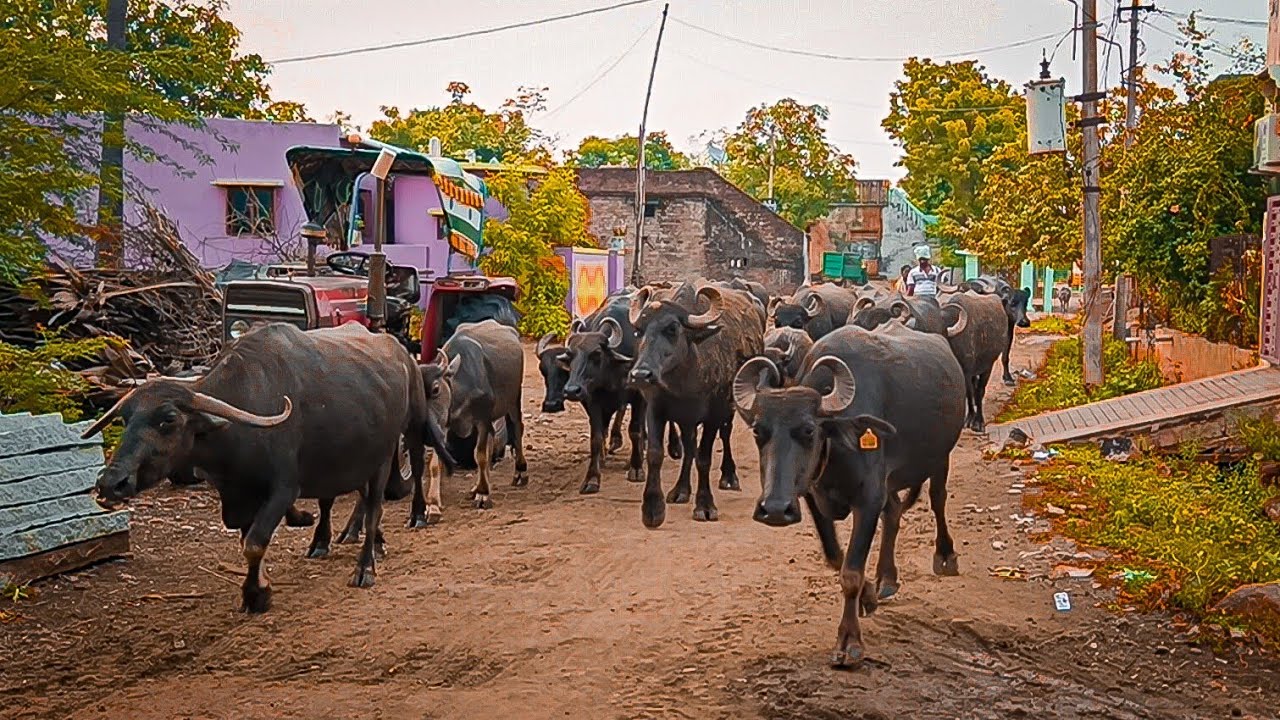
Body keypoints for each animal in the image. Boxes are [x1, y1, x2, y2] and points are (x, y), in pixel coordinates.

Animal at [732, 321, 966, 667]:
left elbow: (851, 573)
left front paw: (848, 642)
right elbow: (835, 557)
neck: (837, 448)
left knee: (937, 499)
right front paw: (868, 596)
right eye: (759, 431)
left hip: (940, 457)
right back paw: (886, 579)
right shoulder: (812, 496)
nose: (773, 509)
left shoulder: (868, 499)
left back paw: (945, 556)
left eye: (809, 430)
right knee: (893, 512)